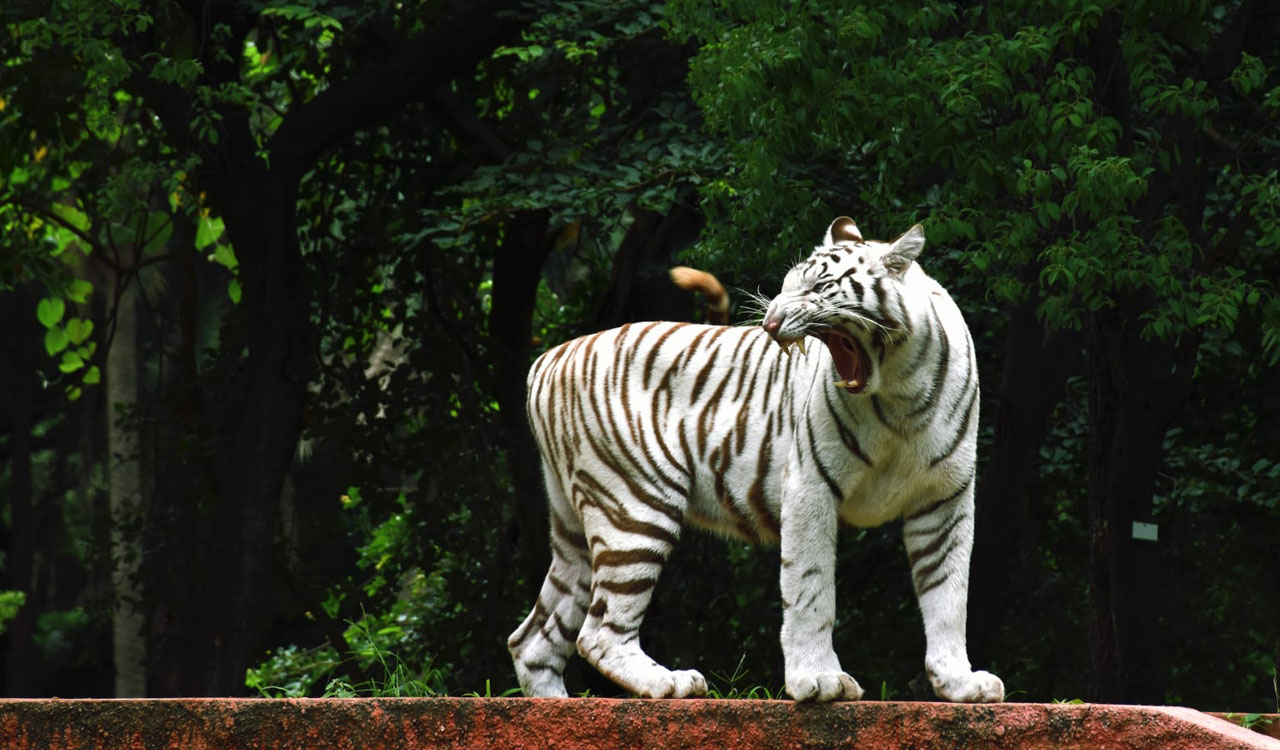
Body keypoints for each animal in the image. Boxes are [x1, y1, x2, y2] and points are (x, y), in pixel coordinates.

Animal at [507, 217, 1004, 703]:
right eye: (786, 285)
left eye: (820, 287)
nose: (770, 321)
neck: (901, 391)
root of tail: (546, 359)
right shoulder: (810, 485)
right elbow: (811, 588)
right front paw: (818, 679)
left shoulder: (945, 499)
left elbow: (948, 595)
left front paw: (960, 683)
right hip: (634, 506)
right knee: (598, 633)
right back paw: (670, 683)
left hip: (576, 524)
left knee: (532, 639)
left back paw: (553, 706)